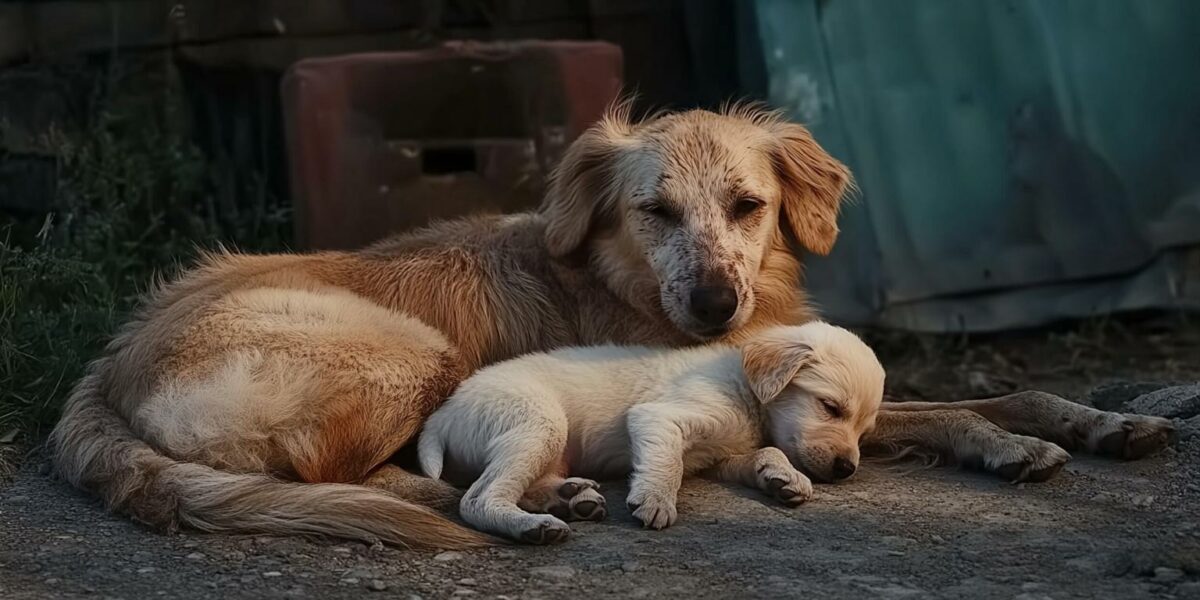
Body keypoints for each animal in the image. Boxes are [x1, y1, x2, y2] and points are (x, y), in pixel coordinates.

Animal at [420, 324, 883, 544]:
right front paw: (656, 500)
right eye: (831, 408)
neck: (745, 385)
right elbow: (668, 463)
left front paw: (783, 477)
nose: (846, 469)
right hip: (538, 423)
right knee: (479, 498)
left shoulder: (722, 456)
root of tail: (443, 415)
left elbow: (768, 452)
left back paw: (571, 498)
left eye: (865, 430)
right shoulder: (660, 418)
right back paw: (531, 525)